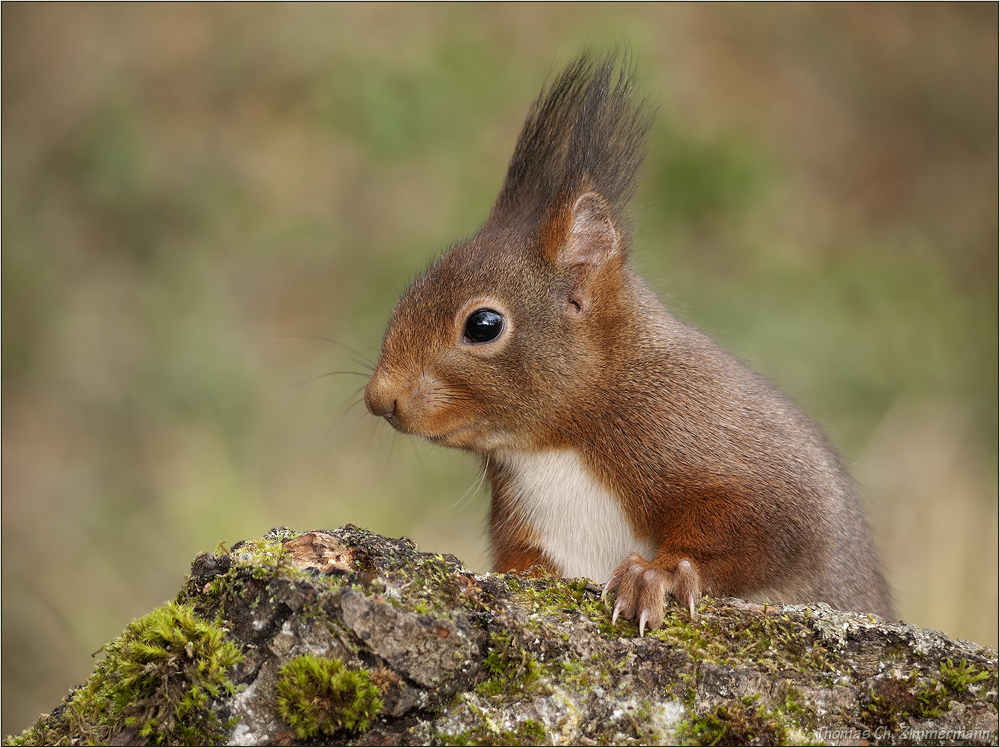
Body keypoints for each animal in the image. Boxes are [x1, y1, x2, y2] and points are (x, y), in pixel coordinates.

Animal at [364, 51, 896, 632]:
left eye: (483, 325)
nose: (379, 398)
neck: (558, 442)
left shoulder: (732, 452)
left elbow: (765, 532)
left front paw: (655, 576)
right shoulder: (529, 529)